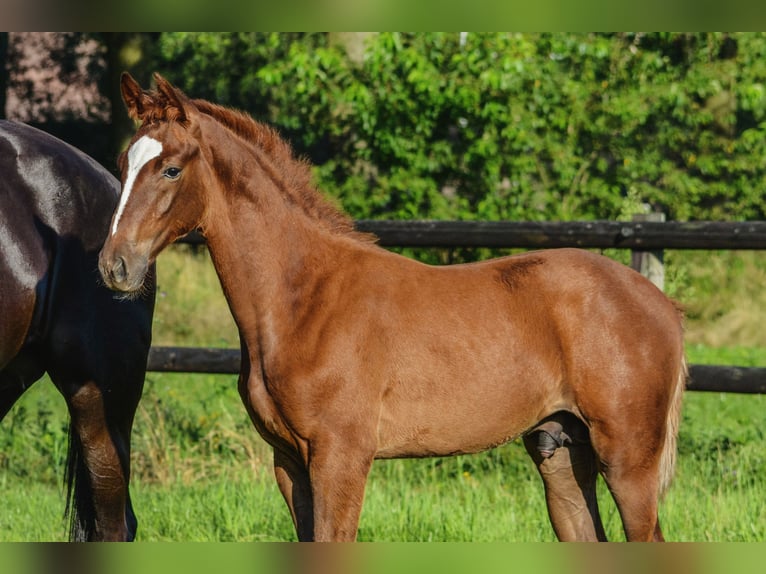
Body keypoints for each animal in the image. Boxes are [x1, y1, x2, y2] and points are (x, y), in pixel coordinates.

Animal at [99, 73, 688, 544]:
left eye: (171, 169)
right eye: (123, 163)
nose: (114, 266)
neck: (303, 300)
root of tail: (662, 304)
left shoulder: (340, 457)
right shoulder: (288, 462)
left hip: (628, 459)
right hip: (559, 449)